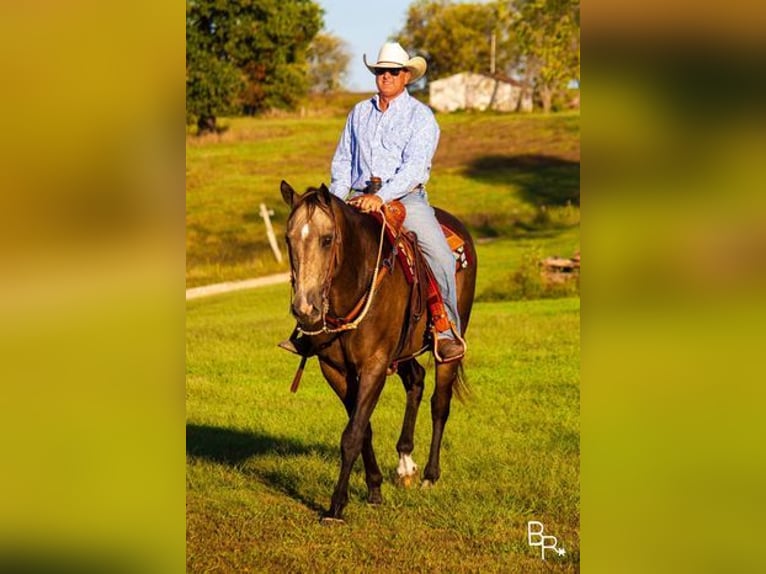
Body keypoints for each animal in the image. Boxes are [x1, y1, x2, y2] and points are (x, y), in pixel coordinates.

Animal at [280, 182, 476, 524]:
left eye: (327, 239)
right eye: (288, 239)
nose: (305, 309)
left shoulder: (374, 365)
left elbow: (352, 435)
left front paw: (336, 507)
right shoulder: (336, 370)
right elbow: (364, 429)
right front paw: (374, 490)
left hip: (450, 346)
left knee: (440, 404)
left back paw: (429, 475)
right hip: (404, 351)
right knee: (416, 380)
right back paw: (405, 462)